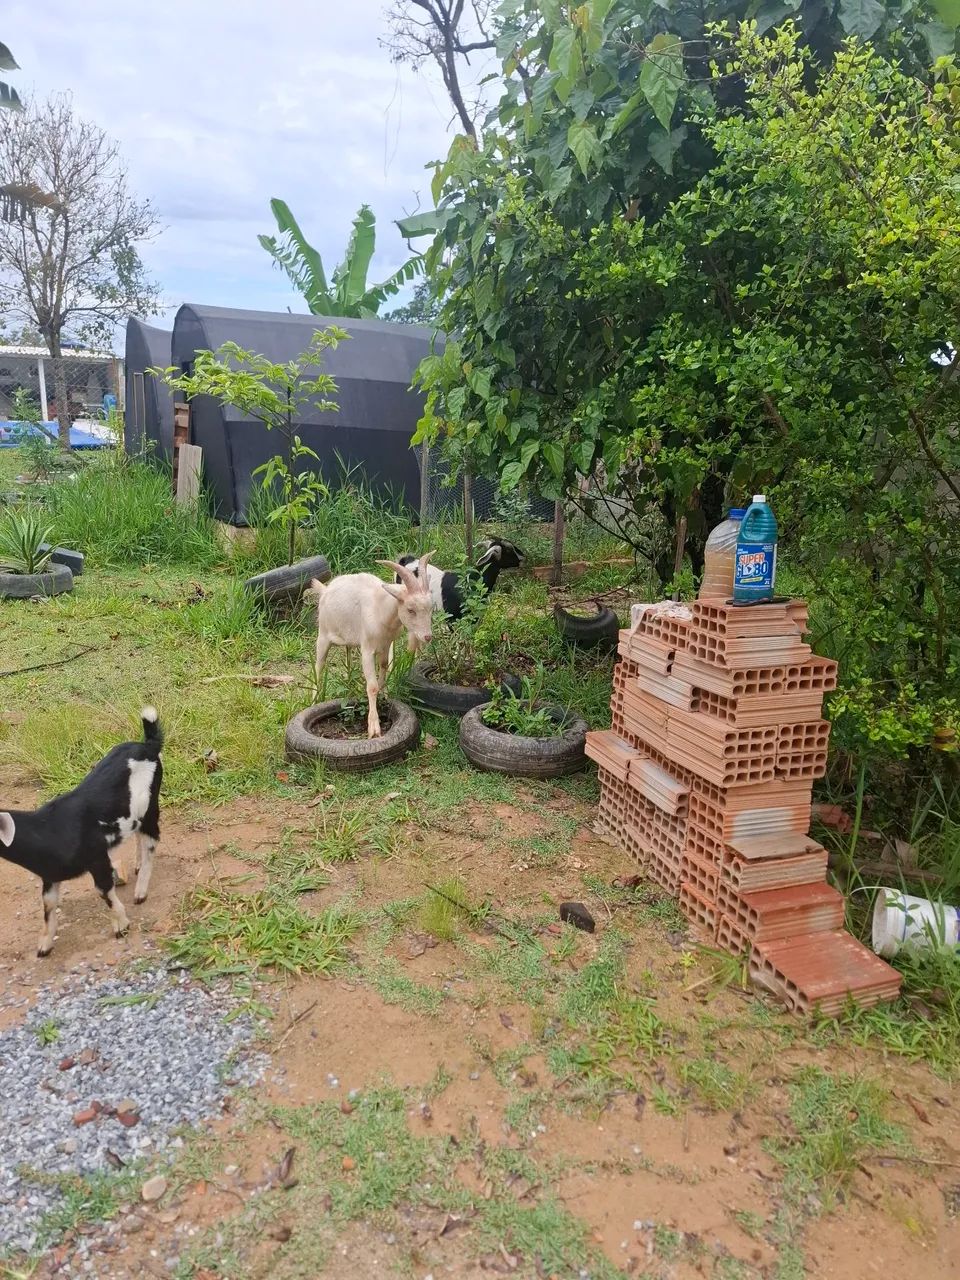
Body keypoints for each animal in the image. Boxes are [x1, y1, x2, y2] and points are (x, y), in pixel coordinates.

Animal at [0, 707, 163, 957]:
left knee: (151, 840)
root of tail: (149, 746)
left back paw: (140, 892)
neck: (46, 830)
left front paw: (121, 926)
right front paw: (44, 946)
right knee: (138, 834)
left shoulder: (97, 858)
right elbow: (48, 905)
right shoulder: (50, 875)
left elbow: (104, 891)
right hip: (134, 813)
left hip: (150, 805)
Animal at [309, 553, 434, 738]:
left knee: (347, 658)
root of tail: (325, 590)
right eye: (411, 609)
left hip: (348, 640)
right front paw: (374, 728)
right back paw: (315, 699)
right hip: (323, 635)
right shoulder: (367, 649)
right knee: (319, 666)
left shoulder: (386, 644)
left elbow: (384, 667)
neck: (380, 608)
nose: (427, 636)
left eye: (430, 608)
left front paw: (385, 697)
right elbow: (372, 686)